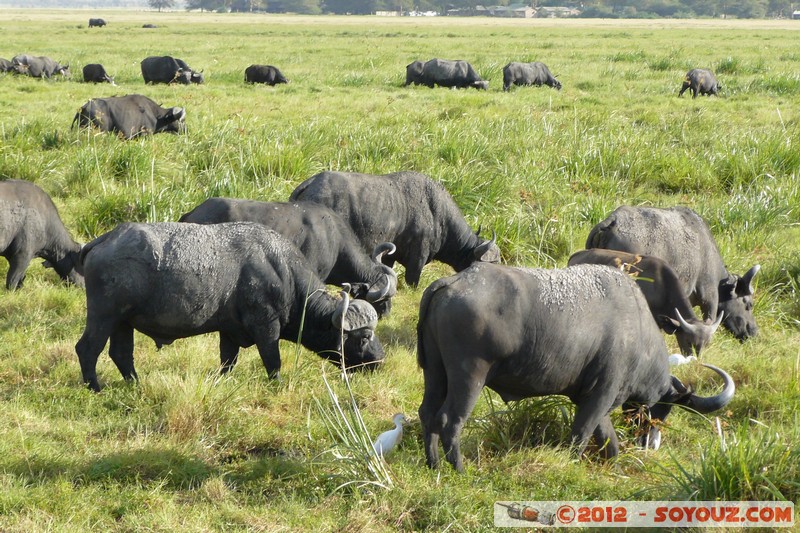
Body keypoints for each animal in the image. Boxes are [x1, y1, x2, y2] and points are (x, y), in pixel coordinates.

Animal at [75, 222, 387, 392]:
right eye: (364, 336)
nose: (379, 359)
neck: (282, 271)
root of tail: (103, 240)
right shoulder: (266, 327)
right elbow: (273, 361)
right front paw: (276, 384)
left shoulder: (228, 331)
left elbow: (228, 361)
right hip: (104, 316)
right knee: (87, 348)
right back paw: (95, 387)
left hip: (123, 322)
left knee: (121, 353)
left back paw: (135, 384)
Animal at [418, 263, 735, 471]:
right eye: (663, 409)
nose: (650, 444)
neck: (638, 331)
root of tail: (453, 283)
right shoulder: (601, 396)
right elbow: (580, 435)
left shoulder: (593, 399)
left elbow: (608, 440)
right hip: (469, 376)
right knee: (449, 420)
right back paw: (460, 469)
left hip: (435, 374)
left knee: (428, 413)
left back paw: (434, 465)